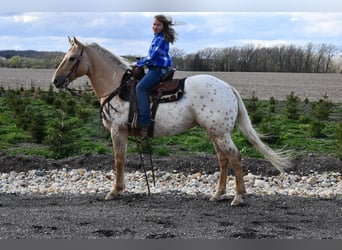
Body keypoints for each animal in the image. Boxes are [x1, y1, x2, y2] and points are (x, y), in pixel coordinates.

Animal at [52, 36, 290, 205]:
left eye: (72, 58)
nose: (56, 81)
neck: (117, 86)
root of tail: (228, 87)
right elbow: (122, 159)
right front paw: (119, 189)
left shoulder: (117, 130)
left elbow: (118, 160)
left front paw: (114, 192)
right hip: (215, 133)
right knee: (224, 160)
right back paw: (218, 194)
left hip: (220, 133)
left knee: (235, 157)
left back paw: (238, 197)